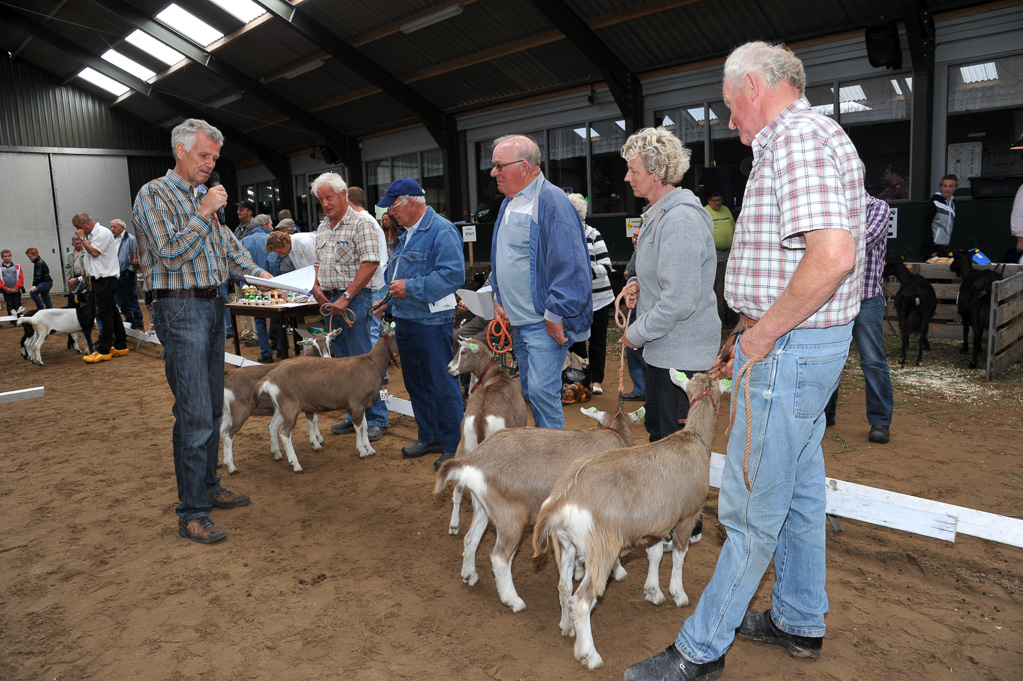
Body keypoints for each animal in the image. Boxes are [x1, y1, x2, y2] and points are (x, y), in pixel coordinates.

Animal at [217, 327, 341, 472]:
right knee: (227, 435)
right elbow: (312, 420)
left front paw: (319, 439)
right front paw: (316, 443)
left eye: (330, 341)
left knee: (218, 433)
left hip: (226, 412)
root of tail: (227, 380)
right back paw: (232, 467)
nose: (327, 358)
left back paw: (219, 462)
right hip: (240, 412)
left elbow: (314, 419)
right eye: (314, 345)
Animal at [255, 327, 398, 470]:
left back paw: (277, 454)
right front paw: (362, 451)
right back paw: (296, 464)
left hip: (281, 407)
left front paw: (369, 449)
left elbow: (365, 426)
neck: (372, 363)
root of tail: (269, 378)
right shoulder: (357, 404)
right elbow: (358, 427)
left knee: (273, 426)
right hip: (290, 407)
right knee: (284, 433)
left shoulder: (363, 406)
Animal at [435, 404, 642, 613]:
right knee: (500, 558)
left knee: (471, 539)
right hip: (510, 516)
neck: (616, 433)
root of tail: (474, 460)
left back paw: (469, 575)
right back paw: (514, 601)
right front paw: (619, 572)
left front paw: (578, 570)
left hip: (482, 507)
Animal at [446, 337, 527, 531]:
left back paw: (454, 525)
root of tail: (480, 418)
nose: (449, 368)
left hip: (464, 446)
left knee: (457, 489)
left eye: (463, 352)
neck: (497, 377)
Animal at [531, 368, 724, 666]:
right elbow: (679, 555)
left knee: (564, 588)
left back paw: (566, 628)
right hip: (600, 549)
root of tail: (563, 497)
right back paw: (589, 654)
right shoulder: (686, 516)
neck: (693, 438)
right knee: (582, 600)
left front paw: (653, 592)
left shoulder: (656, 523)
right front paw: (678, 594)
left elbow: (654, 554)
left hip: (564, 544)